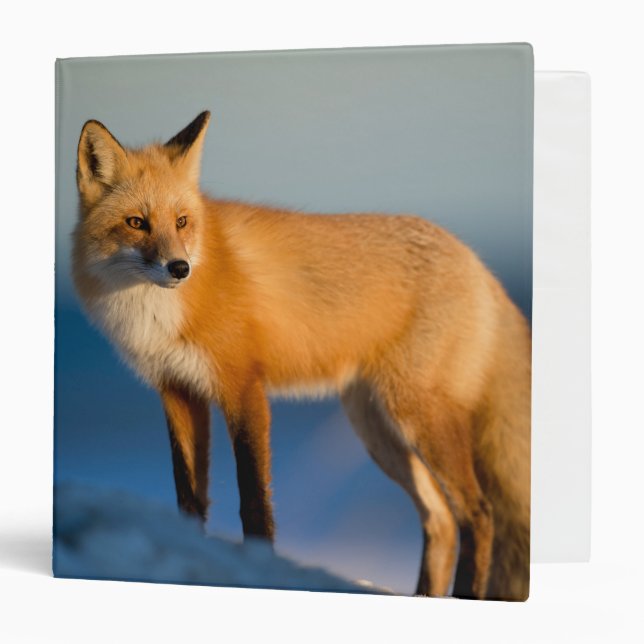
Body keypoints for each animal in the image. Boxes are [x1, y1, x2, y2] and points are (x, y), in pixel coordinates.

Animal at [72, 111, 531, 601]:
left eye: (181, 222)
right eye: (136, 222)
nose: (180, 268)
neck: (157, 313)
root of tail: (477, 262)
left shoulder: (243, 387)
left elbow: (254, 500)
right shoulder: (178, 391)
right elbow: (189, 497)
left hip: (417, 416)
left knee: (479, 513)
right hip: (378, 430)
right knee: (441, 519)